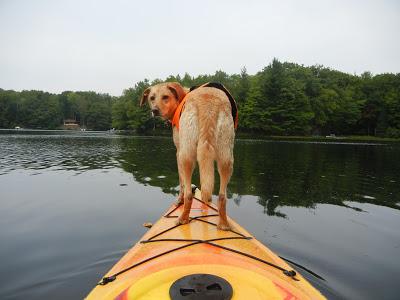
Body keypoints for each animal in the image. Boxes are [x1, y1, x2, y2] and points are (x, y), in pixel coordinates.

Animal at [140, 82, 234, 230]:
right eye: (152, 98)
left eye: (165, 97)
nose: (155, 110)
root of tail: (208, 103)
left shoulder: (178, 152)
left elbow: (181, 183)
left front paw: (179, 200)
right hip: (226, 157)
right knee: (222, 197)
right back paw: (223, 224)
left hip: (186, 156)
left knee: (189, 194)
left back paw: (183, 218)